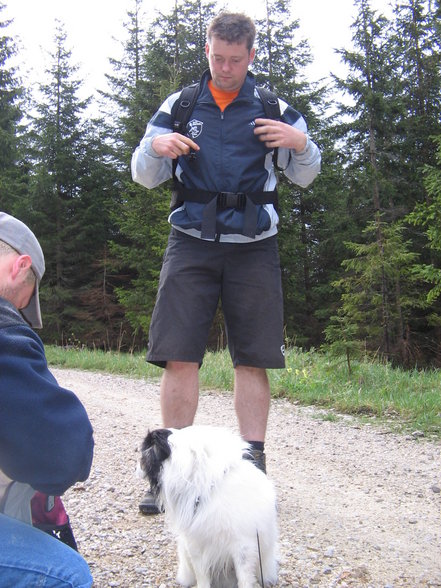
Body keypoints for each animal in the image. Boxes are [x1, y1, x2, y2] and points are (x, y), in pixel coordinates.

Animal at [138, 424, 276, 584]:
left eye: (143, 455)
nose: (136, 467)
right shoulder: (195, 544)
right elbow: (202, 576)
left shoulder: (243, 546)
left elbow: (244, 578)